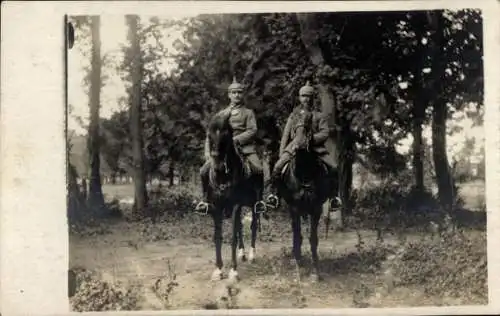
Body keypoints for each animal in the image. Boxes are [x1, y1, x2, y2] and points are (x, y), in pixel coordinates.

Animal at [201, 110, 268, 282]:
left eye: (226, 134)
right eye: (209, 135)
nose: (217, 165)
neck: (223, 176)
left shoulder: (236, 206)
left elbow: (232, 238)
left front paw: (233, 271)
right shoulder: (217, 208)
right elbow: (218, 237)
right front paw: (218, 269)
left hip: (254, 205)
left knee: (252, 226)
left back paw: (251, 254)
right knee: (239, 227)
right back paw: (242, 253)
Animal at [274, 110, 340, 282]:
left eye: (309, 120)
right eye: (294, 119)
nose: (301, 144)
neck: (304, 171)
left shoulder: (316, 209)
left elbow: (313, 239)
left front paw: (315, 272)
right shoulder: (294, 208)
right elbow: (297, 237)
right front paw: (298, 271)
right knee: (296, 234)